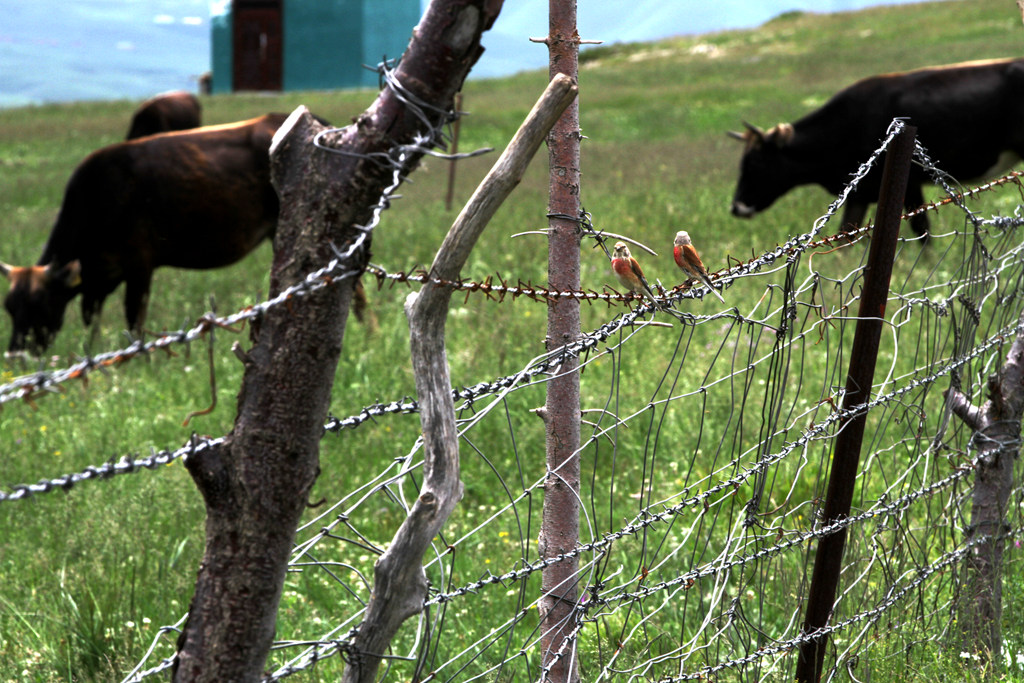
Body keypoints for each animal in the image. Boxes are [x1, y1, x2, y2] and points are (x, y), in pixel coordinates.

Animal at [4, 112, 286, 356]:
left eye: (39, 304)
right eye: (7, 307)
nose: (16, 354)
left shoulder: (139, 264)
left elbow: (134, 319)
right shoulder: (97, 281)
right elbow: (91, 320)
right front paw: (93, 350)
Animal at [729, 59, 1024, 240]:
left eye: (755, 163)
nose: (735, 207)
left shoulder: (908, 184)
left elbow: (922, 230)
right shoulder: (859, 192)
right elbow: (845, 235)